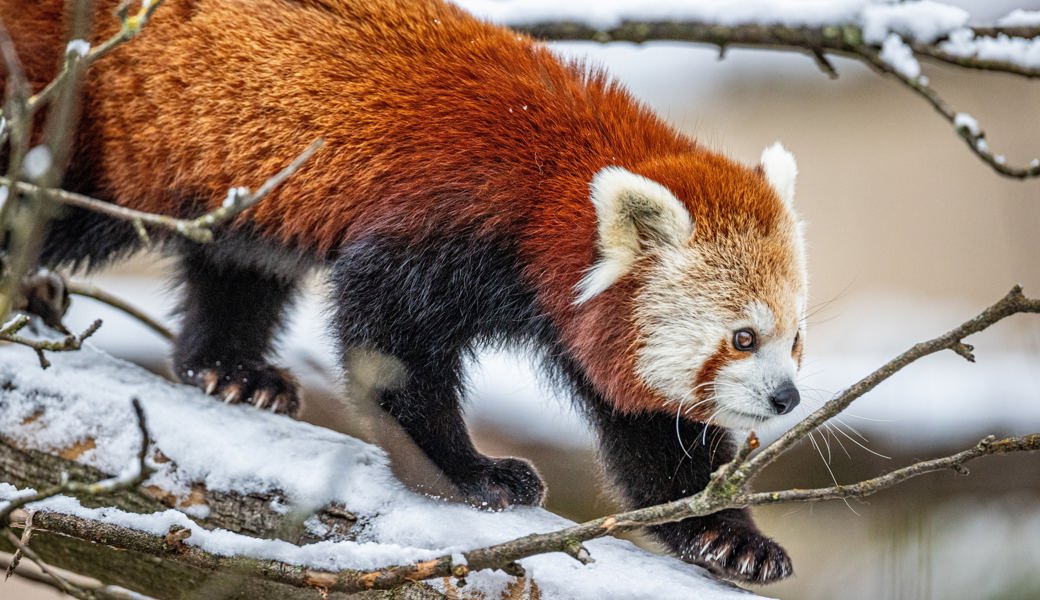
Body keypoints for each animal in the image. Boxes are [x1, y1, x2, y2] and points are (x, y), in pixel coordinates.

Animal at [4, 0, 807, 582]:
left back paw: (233, 370)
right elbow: (388, 340)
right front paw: (468, 470)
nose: (787, 398)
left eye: (794, 338)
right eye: (742, 337)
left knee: (236, 268)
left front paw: (728, 537)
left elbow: (653, 438)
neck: (553, 187)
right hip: (90, 125)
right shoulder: (448, 218)